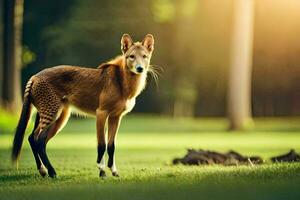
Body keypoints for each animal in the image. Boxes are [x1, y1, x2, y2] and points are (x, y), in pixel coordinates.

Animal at [11, 33, 155, 177]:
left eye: (144, 56)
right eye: (132, 56)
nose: (140, 68)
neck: (122, 80)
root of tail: (36, 76)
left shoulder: (115, 117)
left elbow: (111, 145)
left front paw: (113, 171)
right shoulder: (101, 113)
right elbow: (101, 145)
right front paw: (102, 171)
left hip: (59, 118)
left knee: (33, 138)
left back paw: (43, 170)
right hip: (52, 114)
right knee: (39, 139)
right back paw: (51, 171)